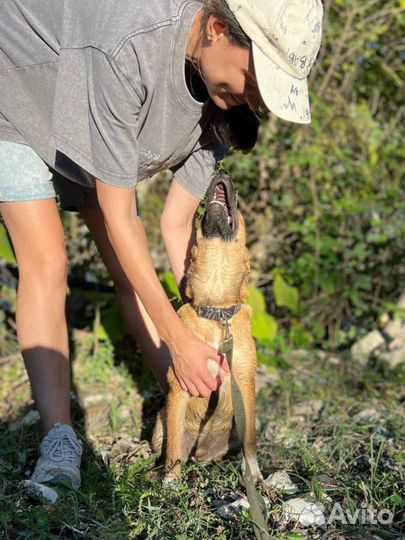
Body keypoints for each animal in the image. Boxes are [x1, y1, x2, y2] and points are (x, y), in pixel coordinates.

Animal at [152, 171, 262, 484]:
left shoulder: (245, 383)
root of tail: (200, 453)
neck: (216, 314)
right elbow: (173, 450)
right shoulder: (180, 388)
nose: (222, 171)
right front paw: (170, 483)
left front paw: (255, 478)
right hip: (159, 424)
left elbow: (250, 444)